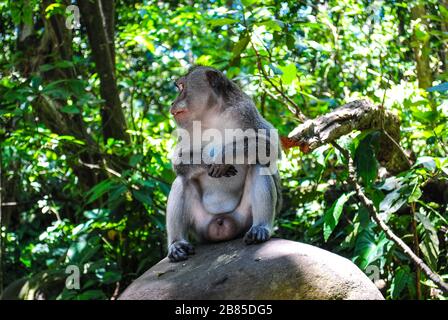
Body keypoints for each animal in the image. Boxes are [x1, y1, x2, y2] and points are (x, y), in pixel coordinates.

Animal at [166, 65, 282, 262]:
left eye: (181, 87)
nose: (172, 102)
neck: (212, 116)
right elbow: (178, 160)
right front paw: (207, 162)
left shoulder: (245, 111)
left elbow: (269, 147)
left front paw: (223, 158)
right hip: (201, 224)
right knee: (182, 180)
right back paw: (177, 244)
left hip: (242, 219)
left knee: (259, 166)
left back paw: (260, 228)